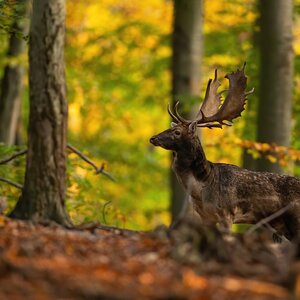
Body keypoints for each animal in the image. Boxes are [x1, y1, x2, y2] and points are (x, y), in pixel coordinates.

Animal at [151, 64, 300, 240]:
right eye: (172, 128)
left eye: (177, 132)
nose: (153, 138)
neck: (201, 189)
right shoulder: (205, 217)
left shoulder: (227, 214)